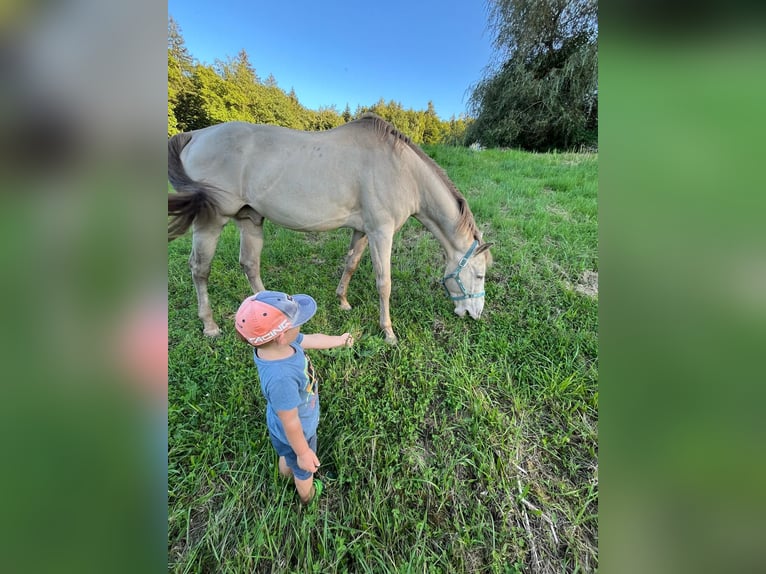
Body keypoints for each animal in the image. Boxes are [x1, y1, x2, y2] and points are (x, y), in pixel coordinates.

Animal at [168, 113, 492, 344]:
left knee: (249, 264)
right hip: (211, 221)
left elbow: (351, 264)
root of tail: (197, 135)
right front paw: (388, 332)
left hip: (251, 219)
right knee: (200, 270)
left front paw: (343, 302)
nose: (475, 314)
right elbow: (384, 283)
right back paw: (210, 325)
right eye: (479, 275)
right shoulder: (381, 233)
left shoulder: (363, 231)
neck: (402, 171)